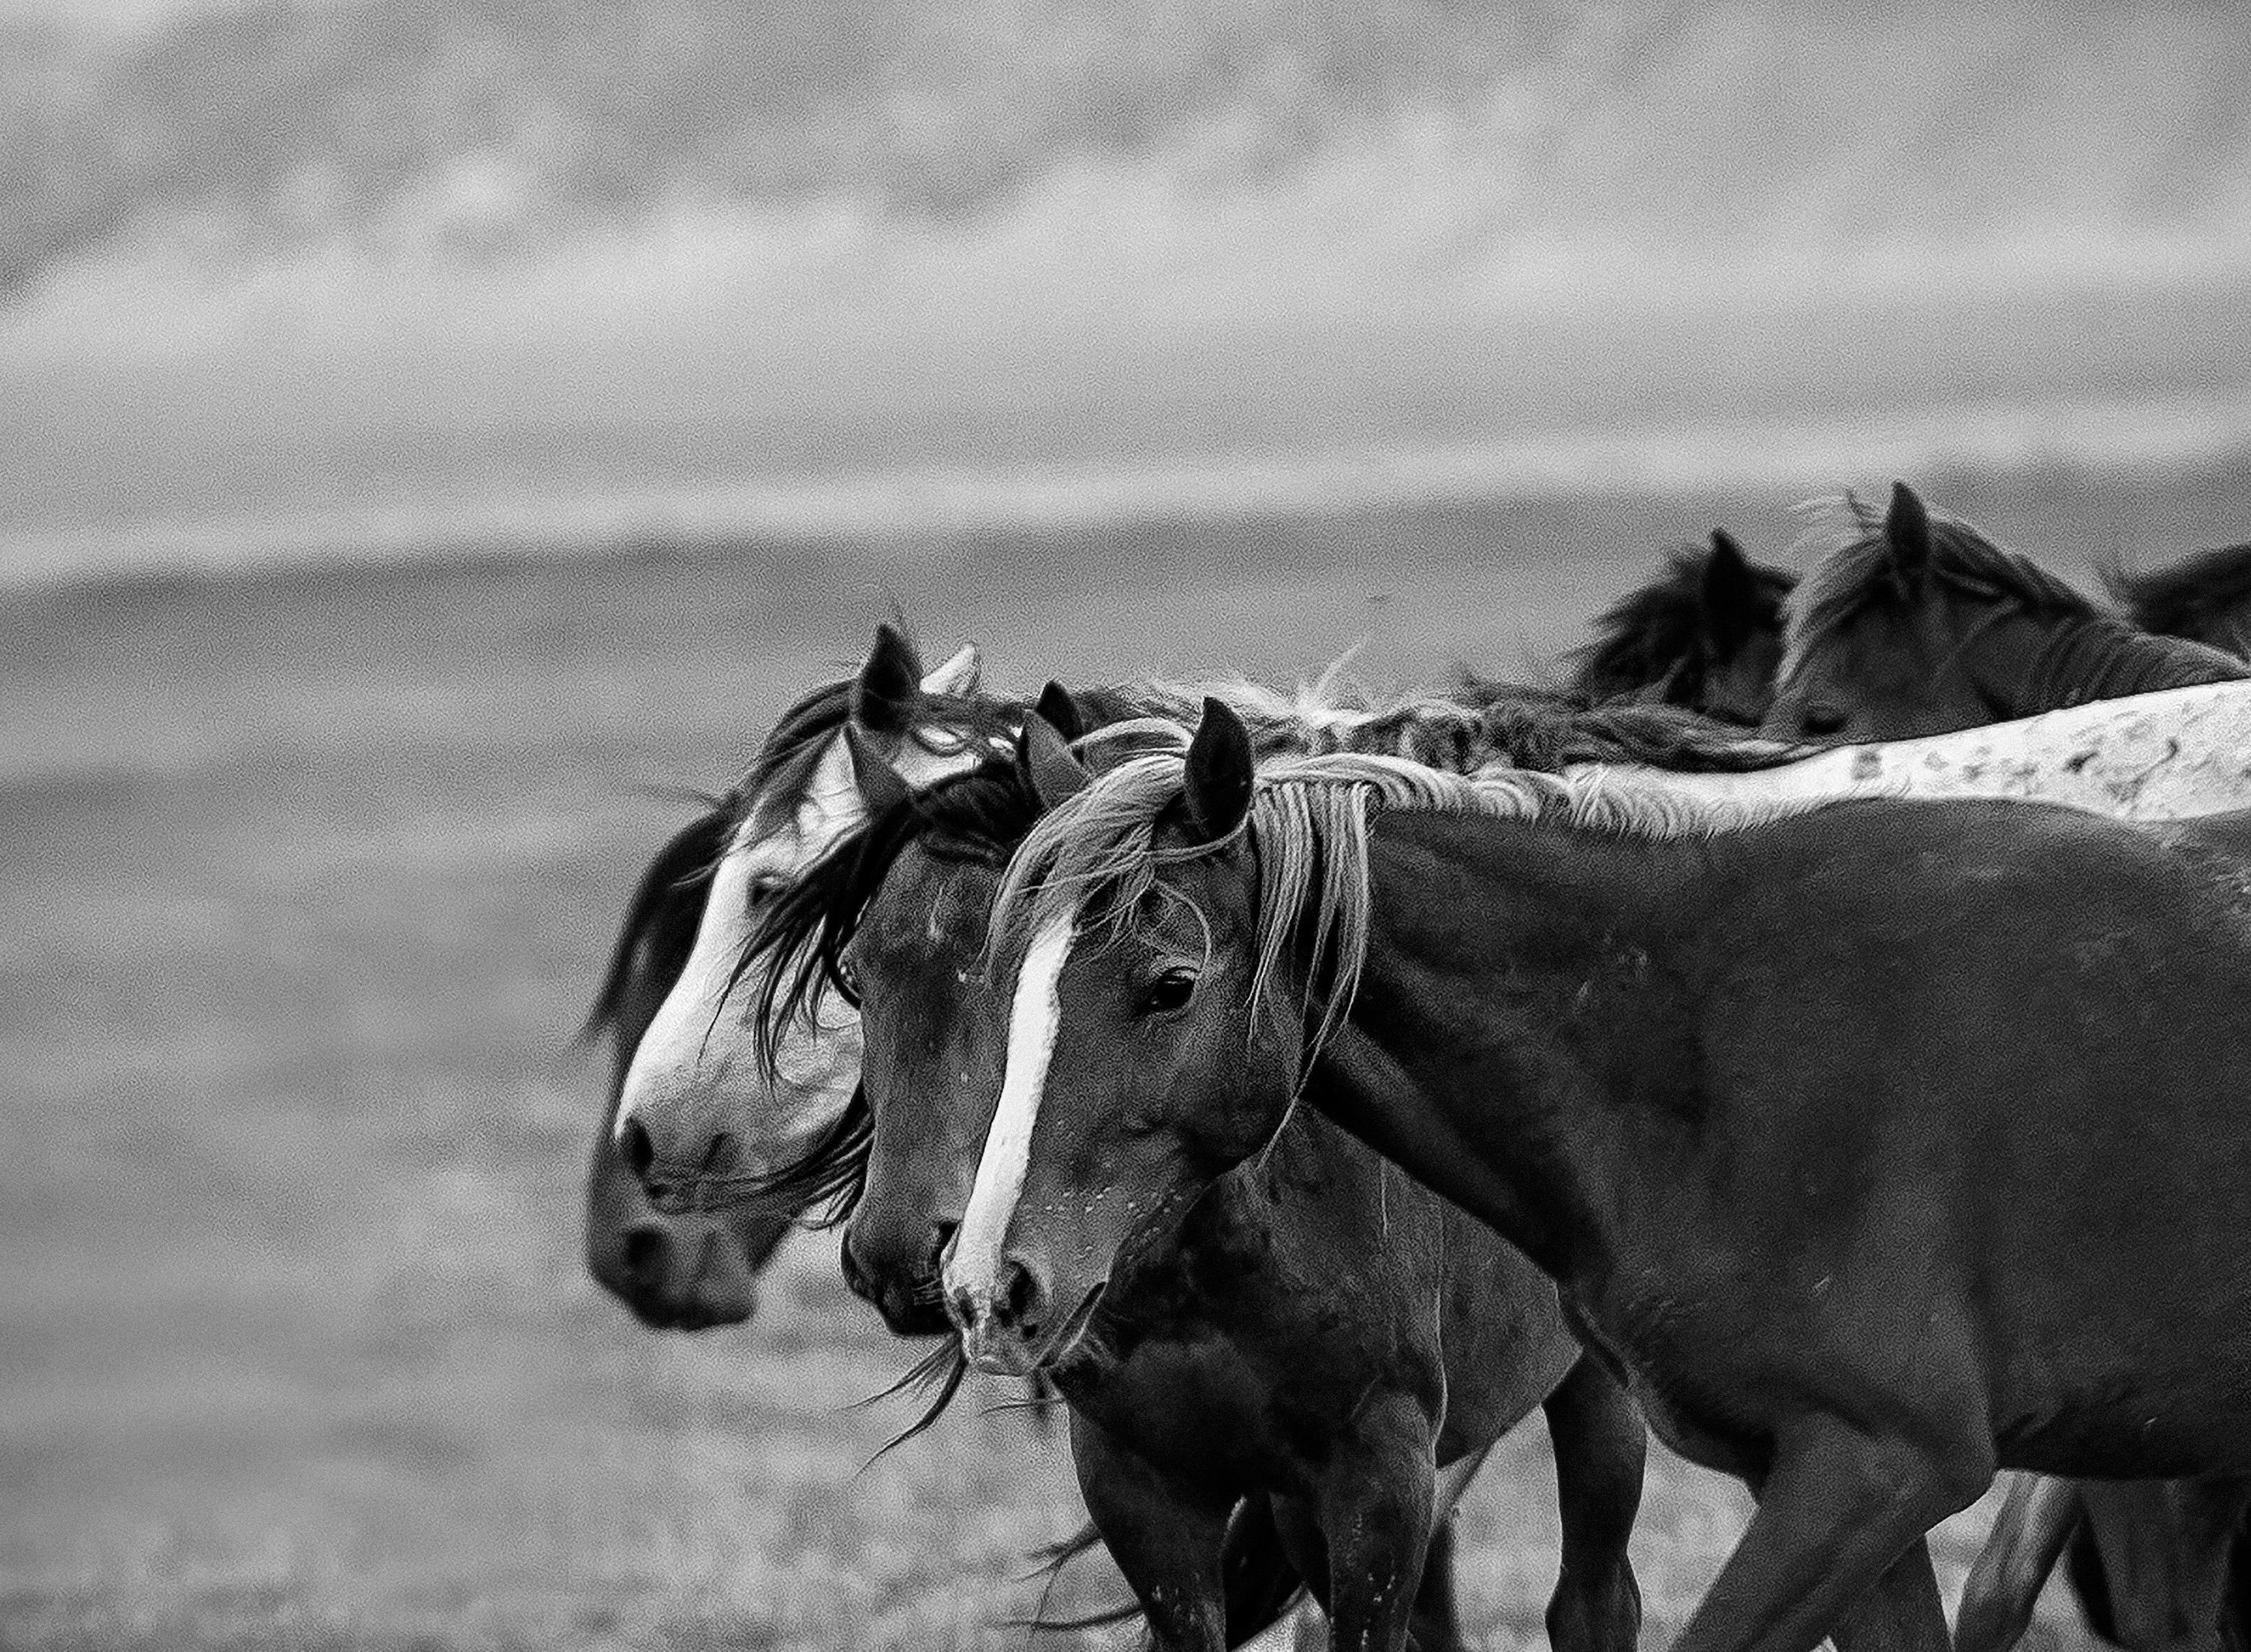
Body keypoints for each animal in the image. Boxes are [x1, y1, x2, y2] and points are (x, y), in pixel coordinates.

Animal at [950, 707, 2251, 1652]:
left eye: (1168, 983)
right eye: (1005, 980)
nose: (986, 1285)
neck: (1706, 1039)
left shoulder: (1879, 1465)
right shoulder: (1843, 1478)